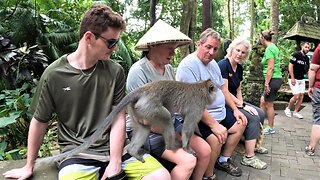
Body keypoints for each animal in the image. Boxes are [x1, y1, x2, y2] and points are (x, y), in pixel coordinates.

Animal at [36, 79, 218, 165]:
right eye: (215, 88)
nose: (217, 95)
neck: (202, 87)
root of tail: (142, 90)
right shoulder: (197, 106)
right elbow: (187, 127)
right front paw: (188, 148)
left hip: (138, 109)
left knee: (144, 128)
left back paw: (132, 151)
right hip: (150, 106)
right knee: (166, 117)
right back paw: (171, 146)